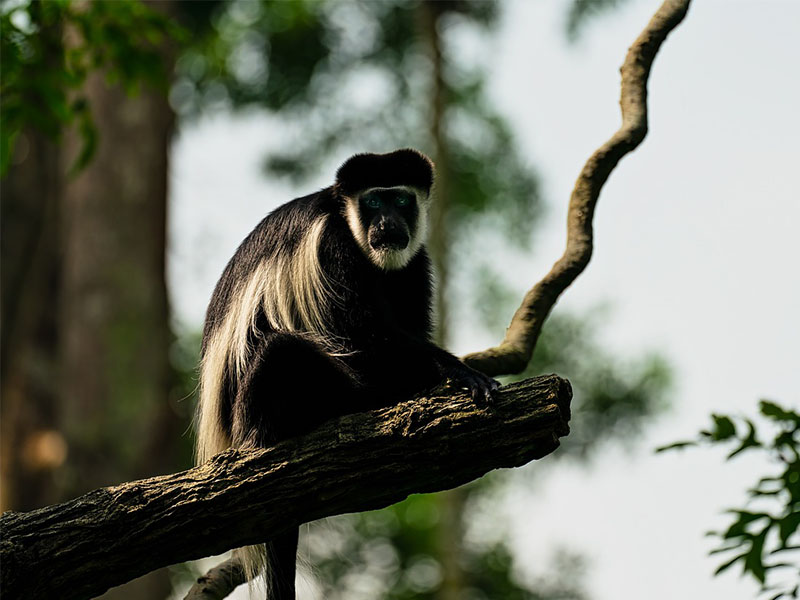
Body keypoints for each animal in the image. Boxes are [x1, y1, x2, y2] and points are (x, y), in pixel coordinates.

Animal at [195, 148, 494, 596]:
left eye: (400, 199)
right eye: (372, 202)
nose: (387, 225)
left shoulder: (415, 260)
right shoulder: (330, 244)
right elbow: (362, 330)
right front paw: (460, 373)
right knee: (282, 351)